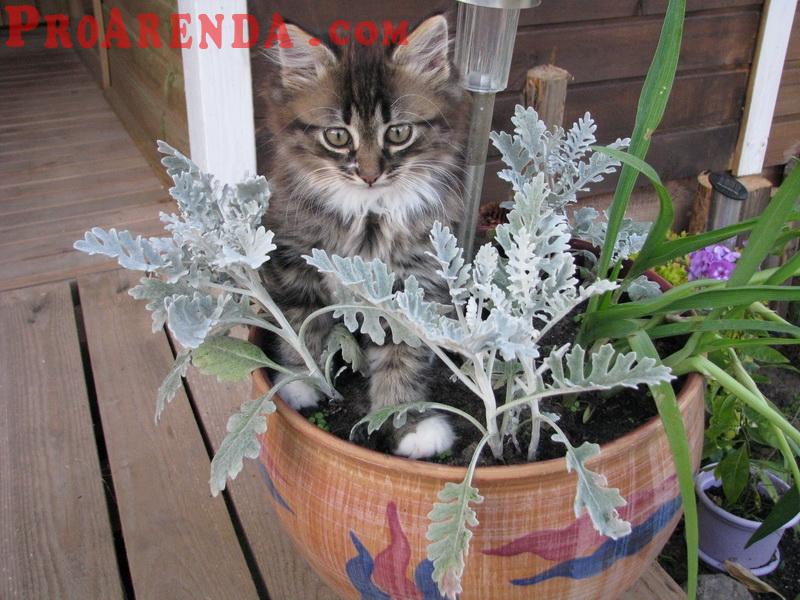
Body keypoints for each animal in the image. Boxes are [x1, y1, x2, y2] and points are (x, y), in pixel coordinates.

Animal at [258, 14, 468, 459]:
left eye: (399, 133)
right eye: (338, 136)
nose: (370, 175)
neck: (368, 217)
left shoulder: (413, 284)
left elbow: (401, 358)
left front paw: (405, 421)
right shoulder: (294, 260)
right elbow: (301, 327)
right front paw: (301, 383)